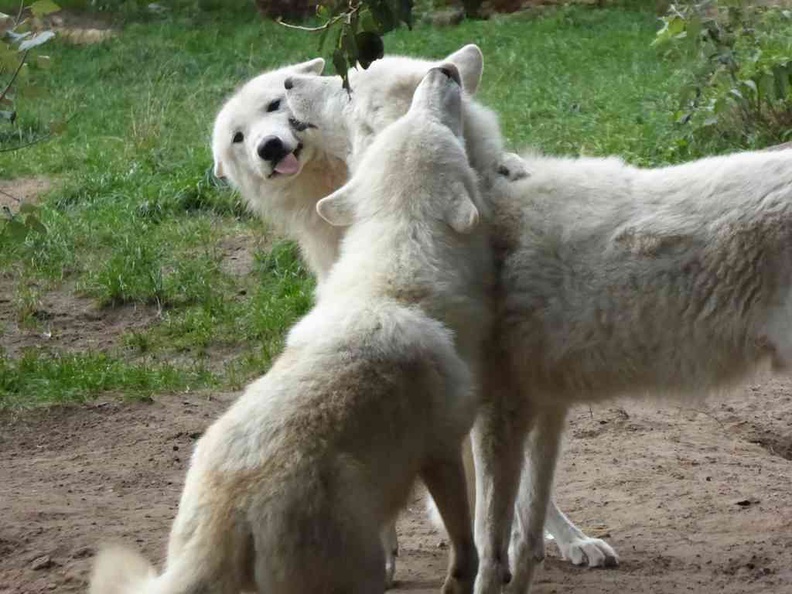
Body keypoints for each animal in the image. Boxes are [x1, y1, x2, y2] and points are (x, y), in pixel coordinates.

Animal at [89, 65, 486, 592]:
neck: (397, 273)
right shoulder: (442, 451)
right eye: (436, 127)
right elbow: (466, 549)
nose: (442, 71)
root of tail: (225, 516)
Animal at [284, 47, 792, 592]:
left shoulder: (497, 413)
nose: (288, 80)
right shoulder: (544, 405)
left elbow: (490, 541)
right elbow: (525, 535)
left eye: (349, 84)